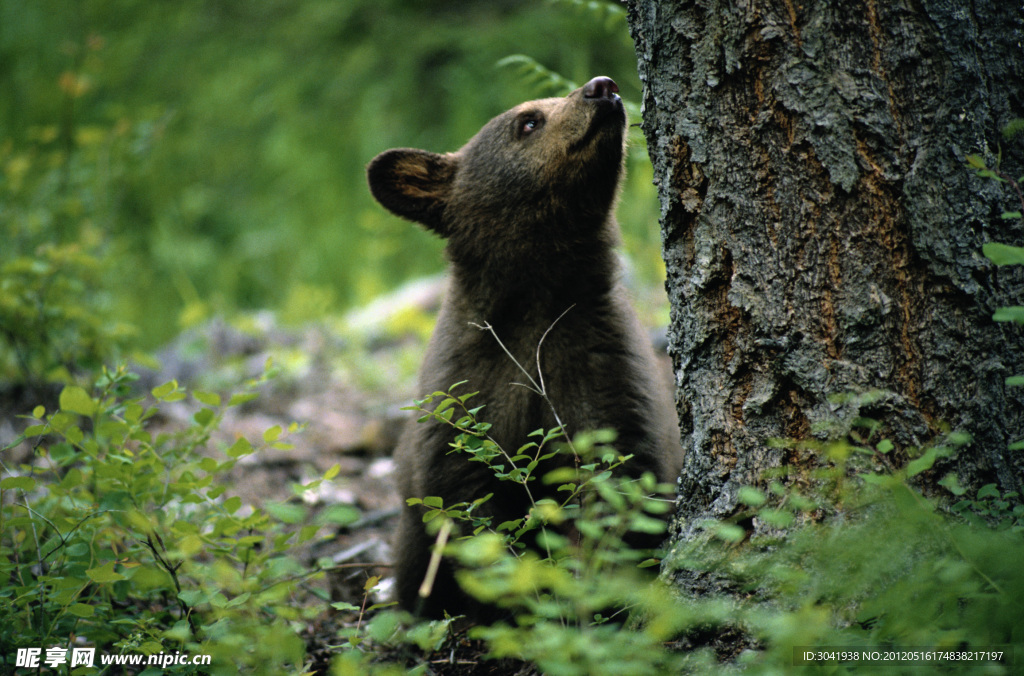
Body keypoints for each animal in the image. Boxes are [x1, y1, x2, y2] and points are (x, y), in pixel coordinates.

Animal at [366, 76, 679, 618]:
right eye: (528, 121)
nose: (604, 87)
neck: (538, 300)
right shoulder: (467, 390)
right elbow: (470, 510)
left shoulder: (602, 366)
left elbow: (618, 483)